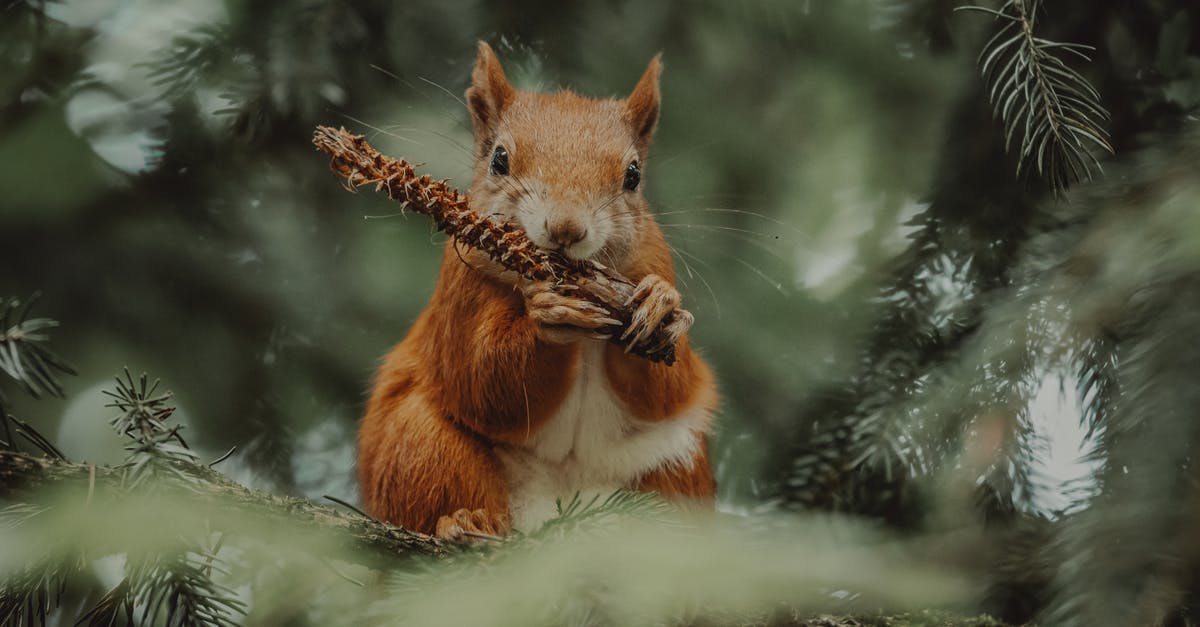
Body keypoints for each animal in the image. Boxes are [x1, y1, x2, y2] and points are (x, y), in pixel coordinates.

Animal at [352, 41, 710, 535]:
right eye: (500, 160)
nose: (566, 228)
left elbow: (666, 390)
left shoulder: (657, 261)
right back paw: (466, 523)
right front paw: (550, 318)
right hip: (419, 445)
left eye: (633, 175)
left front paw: (659, 305)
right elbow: (484, 376)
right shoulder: (461, 290)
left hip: (677, 467)